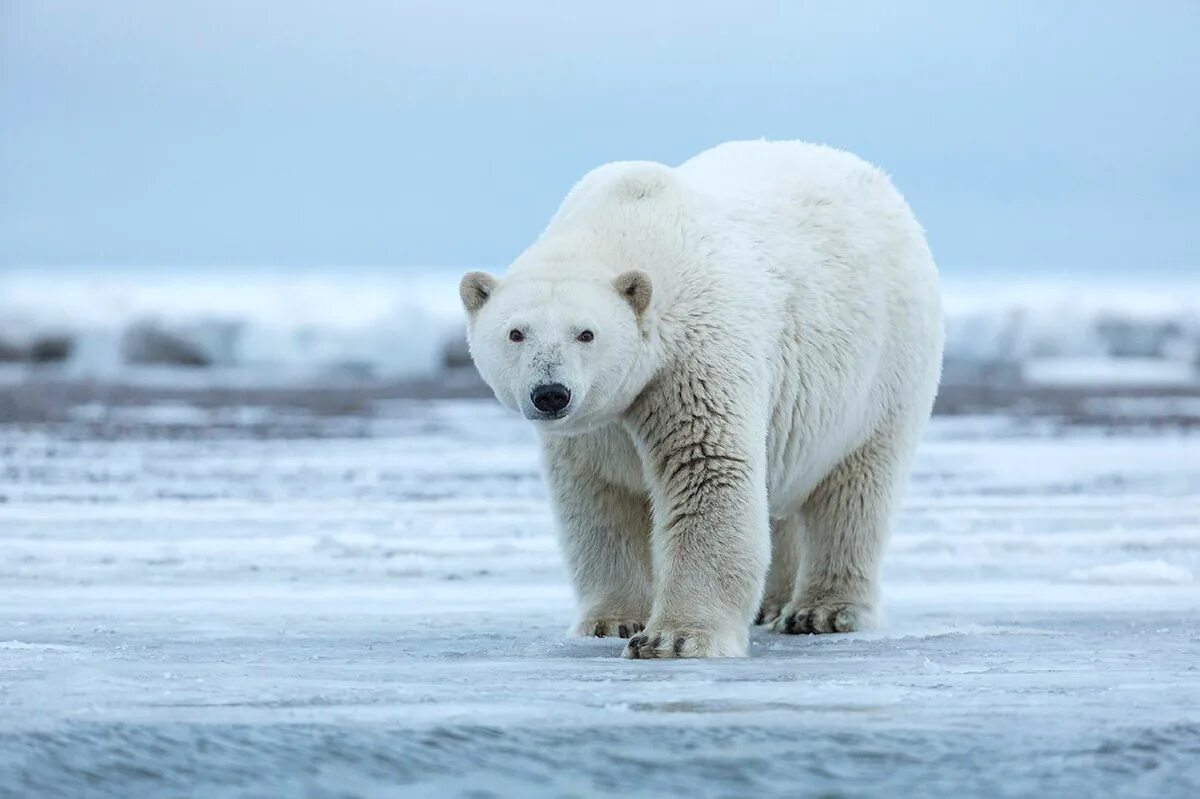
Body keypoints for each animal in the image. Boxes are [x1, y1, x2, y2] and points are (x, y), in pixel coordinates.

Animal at [456, 139, 936, 657]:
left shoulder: (693, 356)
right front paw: (611, 622)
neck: (629, 222)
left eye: (586, 333)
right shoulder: (598, 424)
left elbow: (706, 469)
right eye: (515, 333)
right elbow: (601, 497)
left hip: (883, 370)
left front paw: (673, 638)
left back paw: (823, 611)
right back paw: (772, 603)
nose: (550, 394)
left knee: (855, 490)